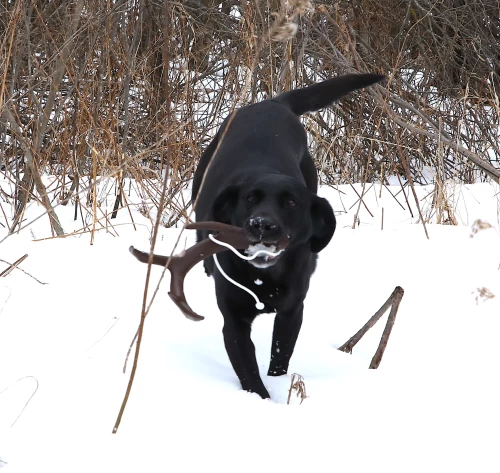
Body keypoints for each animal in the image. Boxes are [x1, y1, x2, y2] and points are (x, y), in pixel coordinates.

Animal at [191, 74, 382, 398]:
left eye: (291, 203)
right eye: (250, 199)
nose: (262, 225)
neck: (264, 276)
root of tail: (273, 102)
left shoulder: (292, 312)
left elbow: (280, 356)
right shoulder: (234, 321)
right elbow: (250, 374)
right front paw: (264, 400)